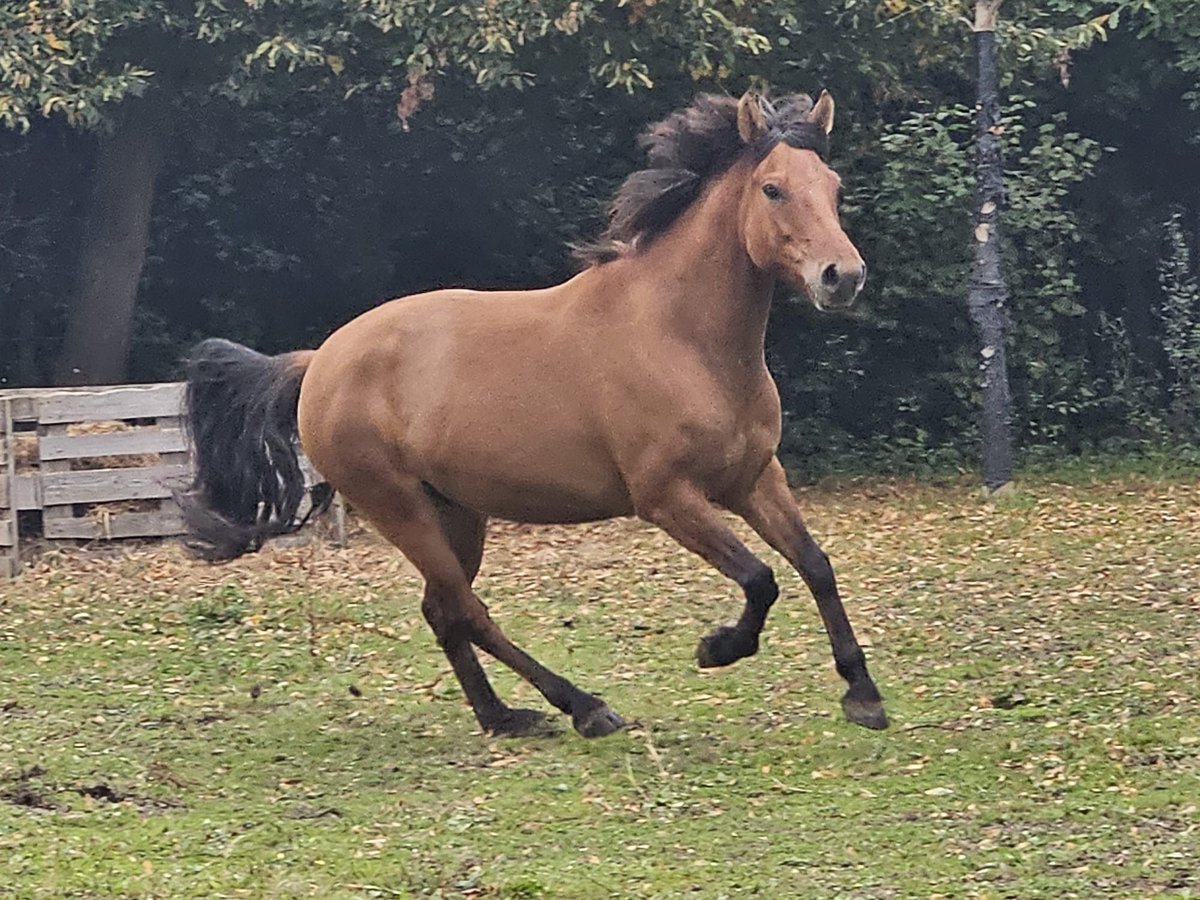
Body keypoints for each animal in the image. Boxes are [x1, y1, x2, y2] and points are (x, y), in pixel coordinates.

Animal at [180, 90, 892, 739]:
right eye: (773, 189)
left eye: (832, 187)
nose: (843, 276)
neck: (682, 338)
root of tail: (319, 360)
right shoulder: (667, 497)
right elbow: (760, 577)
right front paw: (718, 648)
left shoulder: (753, 478)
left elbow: (815, 564)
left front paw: (863, 696)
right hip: (399, 508)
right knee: (468, 610)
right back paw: (583, 707)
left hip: (454, 512)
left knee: (443, 611)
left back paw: (503, 717)